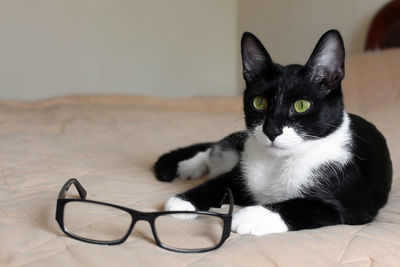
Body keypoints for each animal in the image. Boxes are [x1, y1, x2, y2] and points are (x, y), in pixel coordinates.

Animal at [155, 29, 392, 237]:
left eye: (302, 105)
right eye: (259, 102)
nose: (271, 130)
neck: (278, 162)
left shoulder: (353, 203)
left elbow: (302, 206)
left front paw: (251, 216)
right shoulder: (241, 173)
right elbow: (219, 182)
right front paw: (183, 201)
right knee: (215, 152)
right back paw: (190, 166)